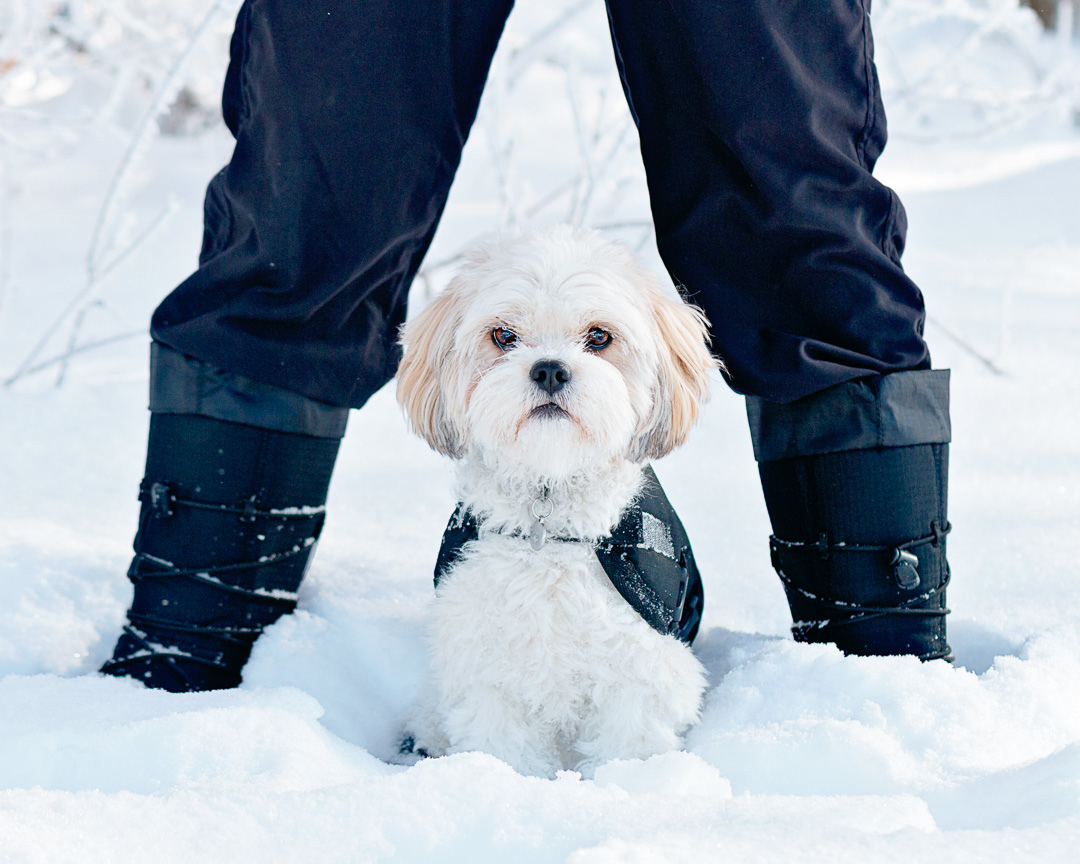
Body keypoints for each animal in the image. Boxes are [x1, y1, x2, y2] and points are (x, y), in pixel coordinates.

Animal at [395, 222, 717, 777]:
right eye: (503, 335)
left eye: (599, 337)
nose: (548, 369)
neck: (550, 528)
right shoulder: (487, 666)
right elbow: (506, 746)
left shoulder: (640, 666)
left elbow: (626, 744)